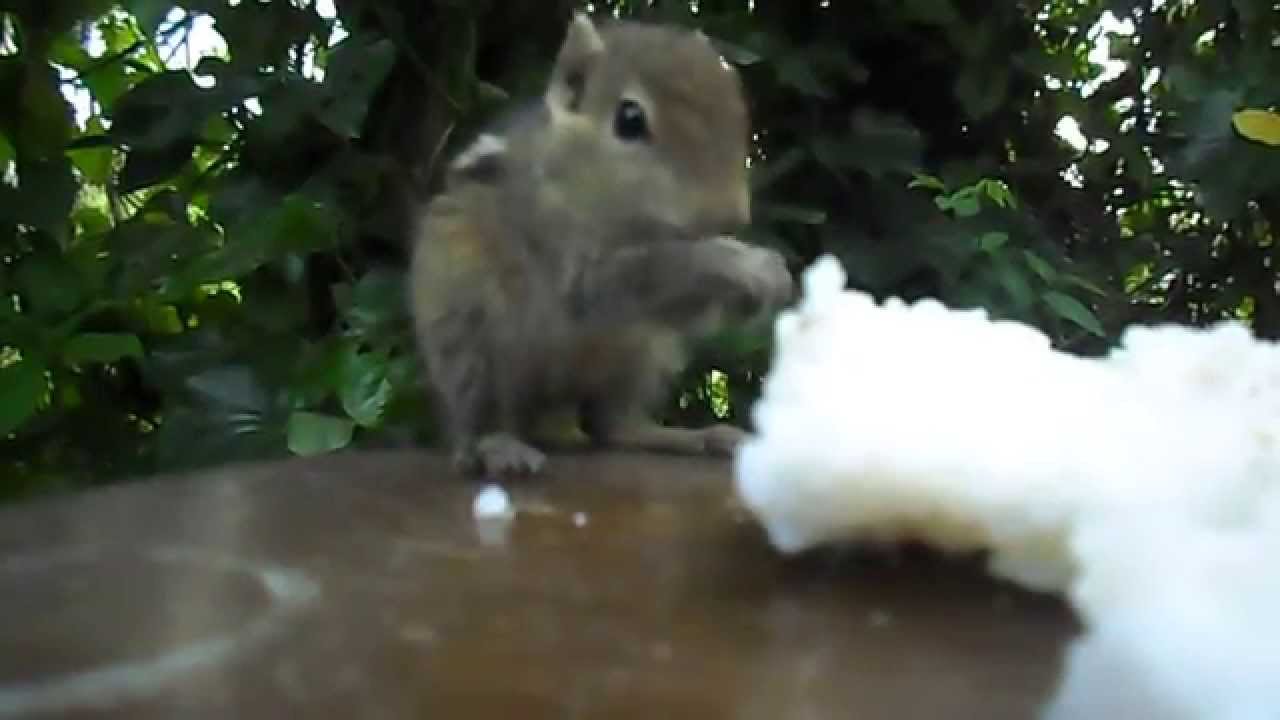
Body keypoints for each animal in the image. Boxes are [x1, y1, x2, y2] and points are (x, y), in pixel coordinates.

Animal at [408, 12, 794, 477]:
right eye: (629, 119)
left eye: (736, 110)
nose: (730, 217)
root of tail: (551, 404)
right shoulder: (558, 240)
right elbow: (637, 275)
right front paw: (740, 263)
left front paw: (767, 278)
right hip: (466, 336)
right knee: (480, 418)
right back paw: (496, 447)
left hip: (642, 355)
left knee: (614, 426)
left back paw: (692, 437)